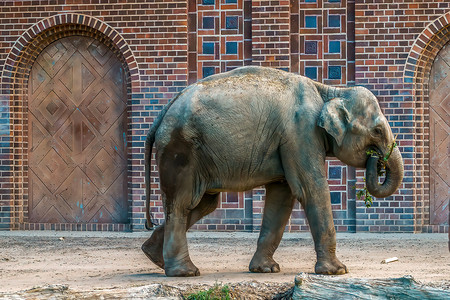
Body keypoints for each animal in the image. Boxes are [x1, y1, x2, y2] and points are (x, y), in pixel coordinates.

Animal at [142, 65, 404, 276]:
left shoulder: (290, 141)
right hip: (180, 151)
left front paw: (266, 269)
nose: (377, 160)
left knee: (204, 204)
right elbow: (311, 189)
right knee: (182, 203)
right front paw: (337, 271)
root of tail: (163, 111)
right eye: (377, 131)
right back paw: (184, 272)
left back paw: (154, 257)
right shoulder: (301, 133)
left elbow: (281, 198)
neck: (330, 91)